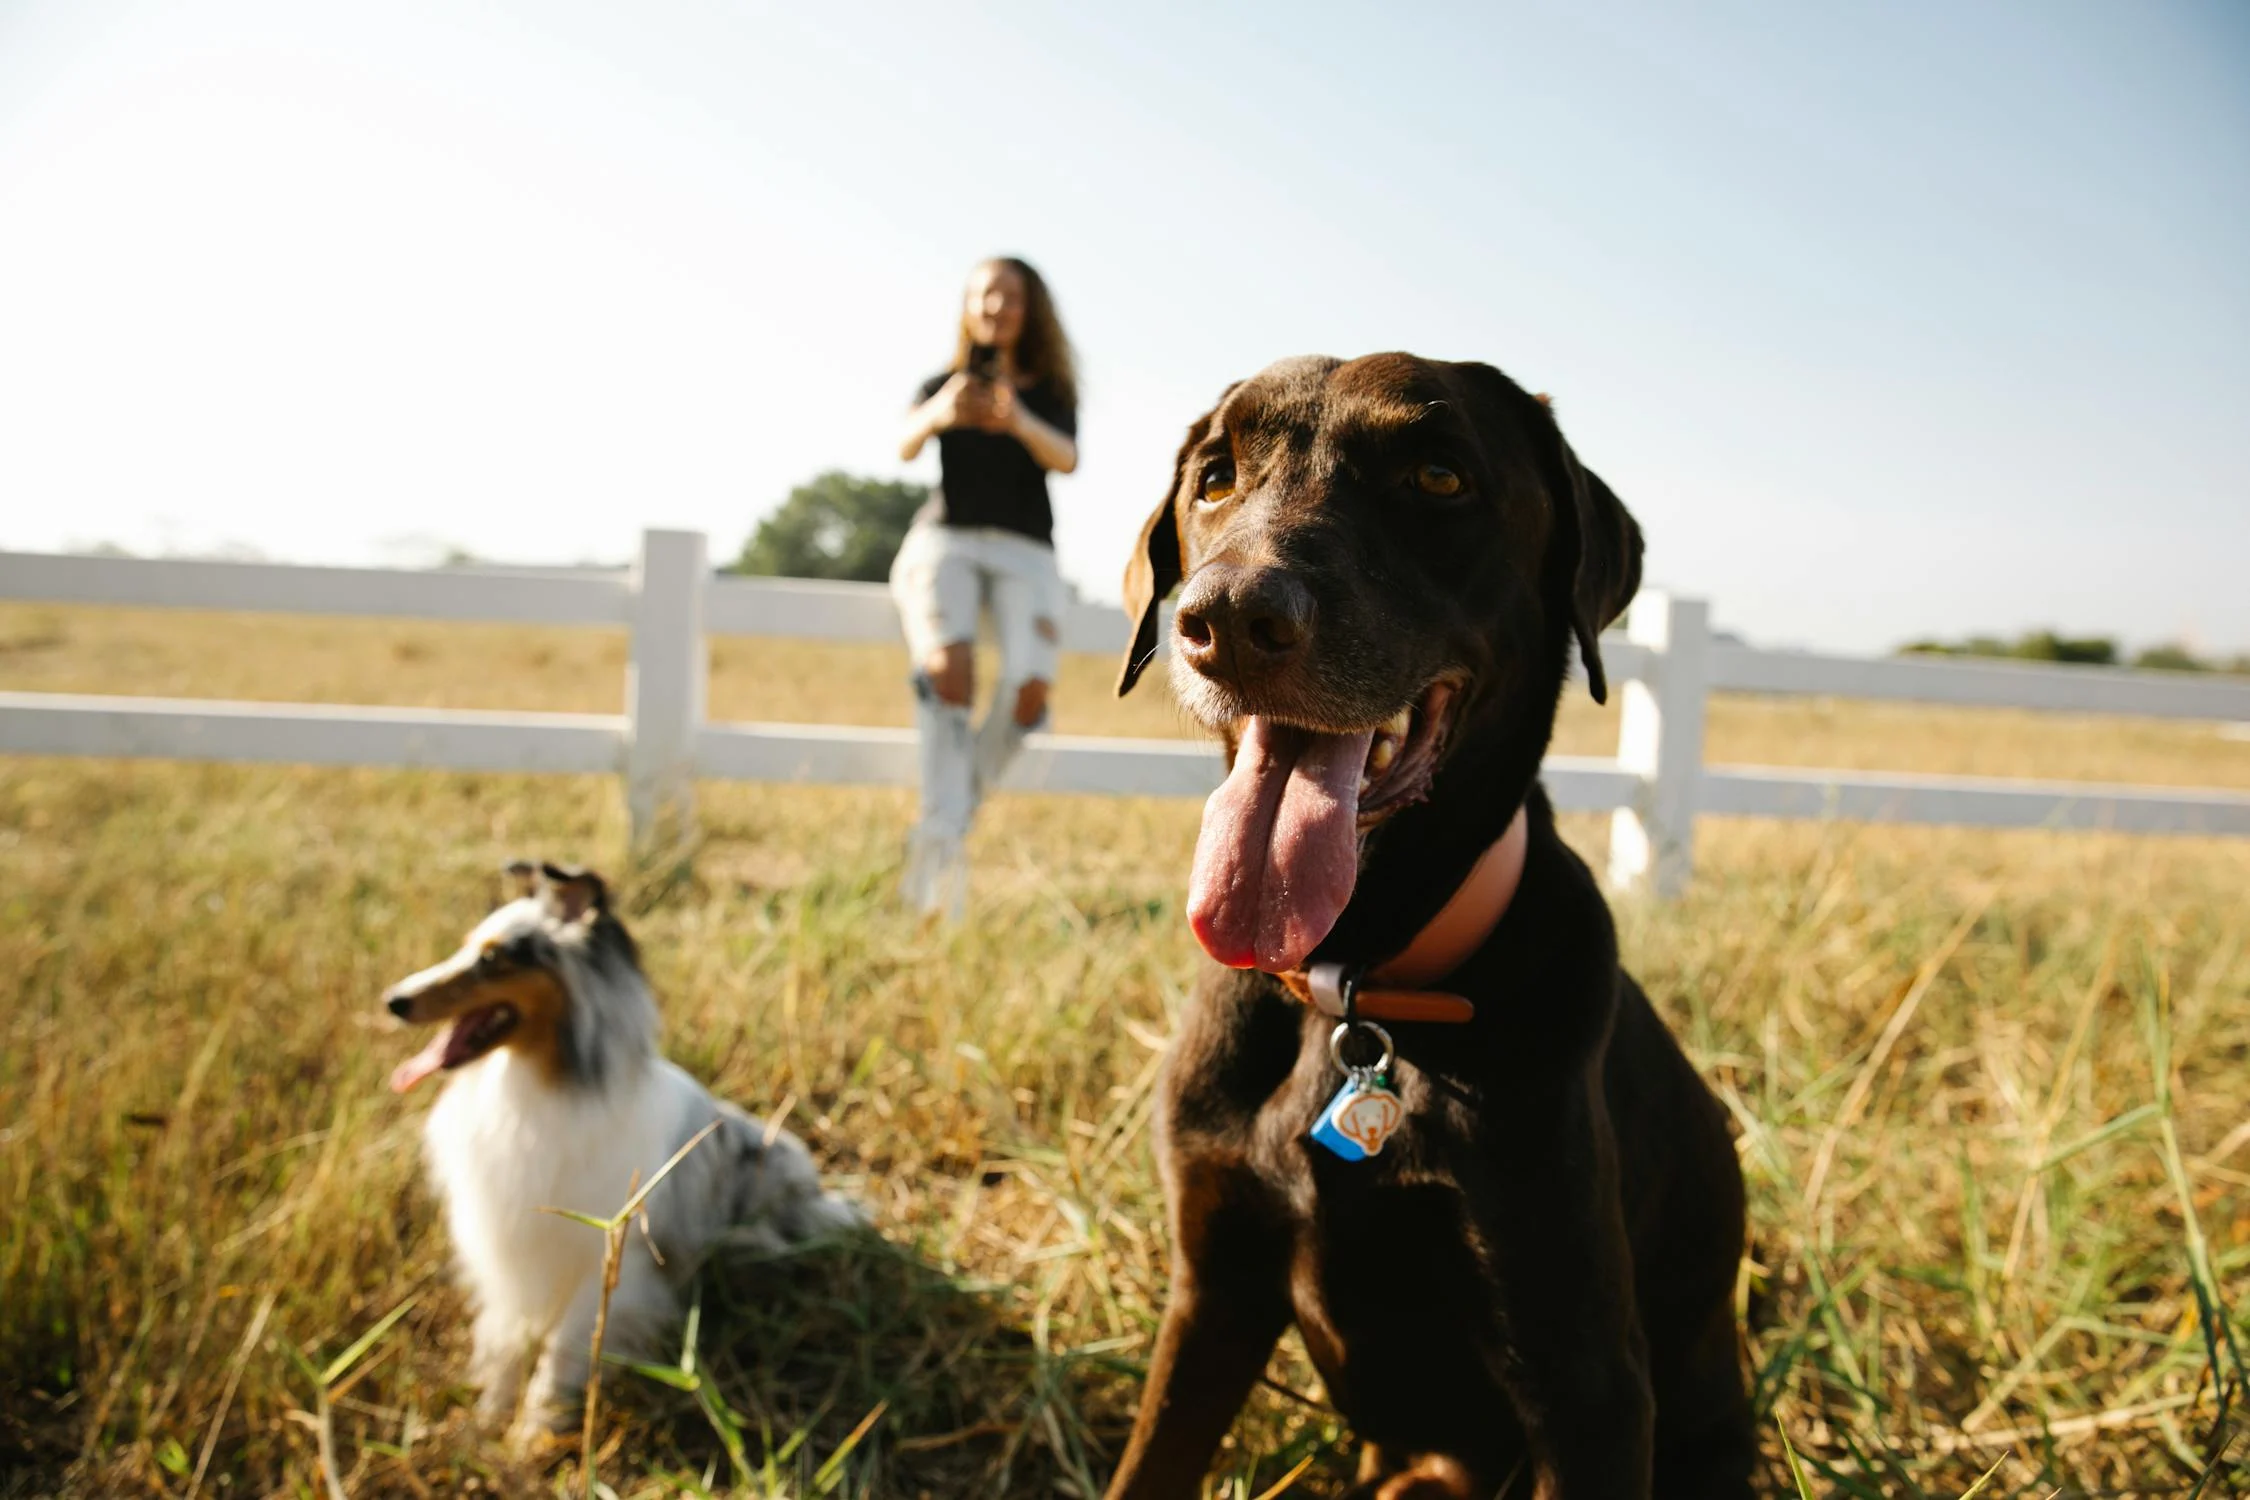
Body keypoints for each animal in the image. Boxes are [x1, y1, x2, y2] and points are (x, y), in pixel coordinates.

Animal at [382, 863, 855, 1448]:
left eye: (492, 960)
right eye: (465, 947)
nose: (393, 1000)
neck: (540, 1087)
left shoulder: (607, 1261)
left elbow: (562, 1349)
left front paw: (531, 1435)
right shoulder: (508, 1251)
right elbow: (505, 1341)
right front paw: (488, 1421)